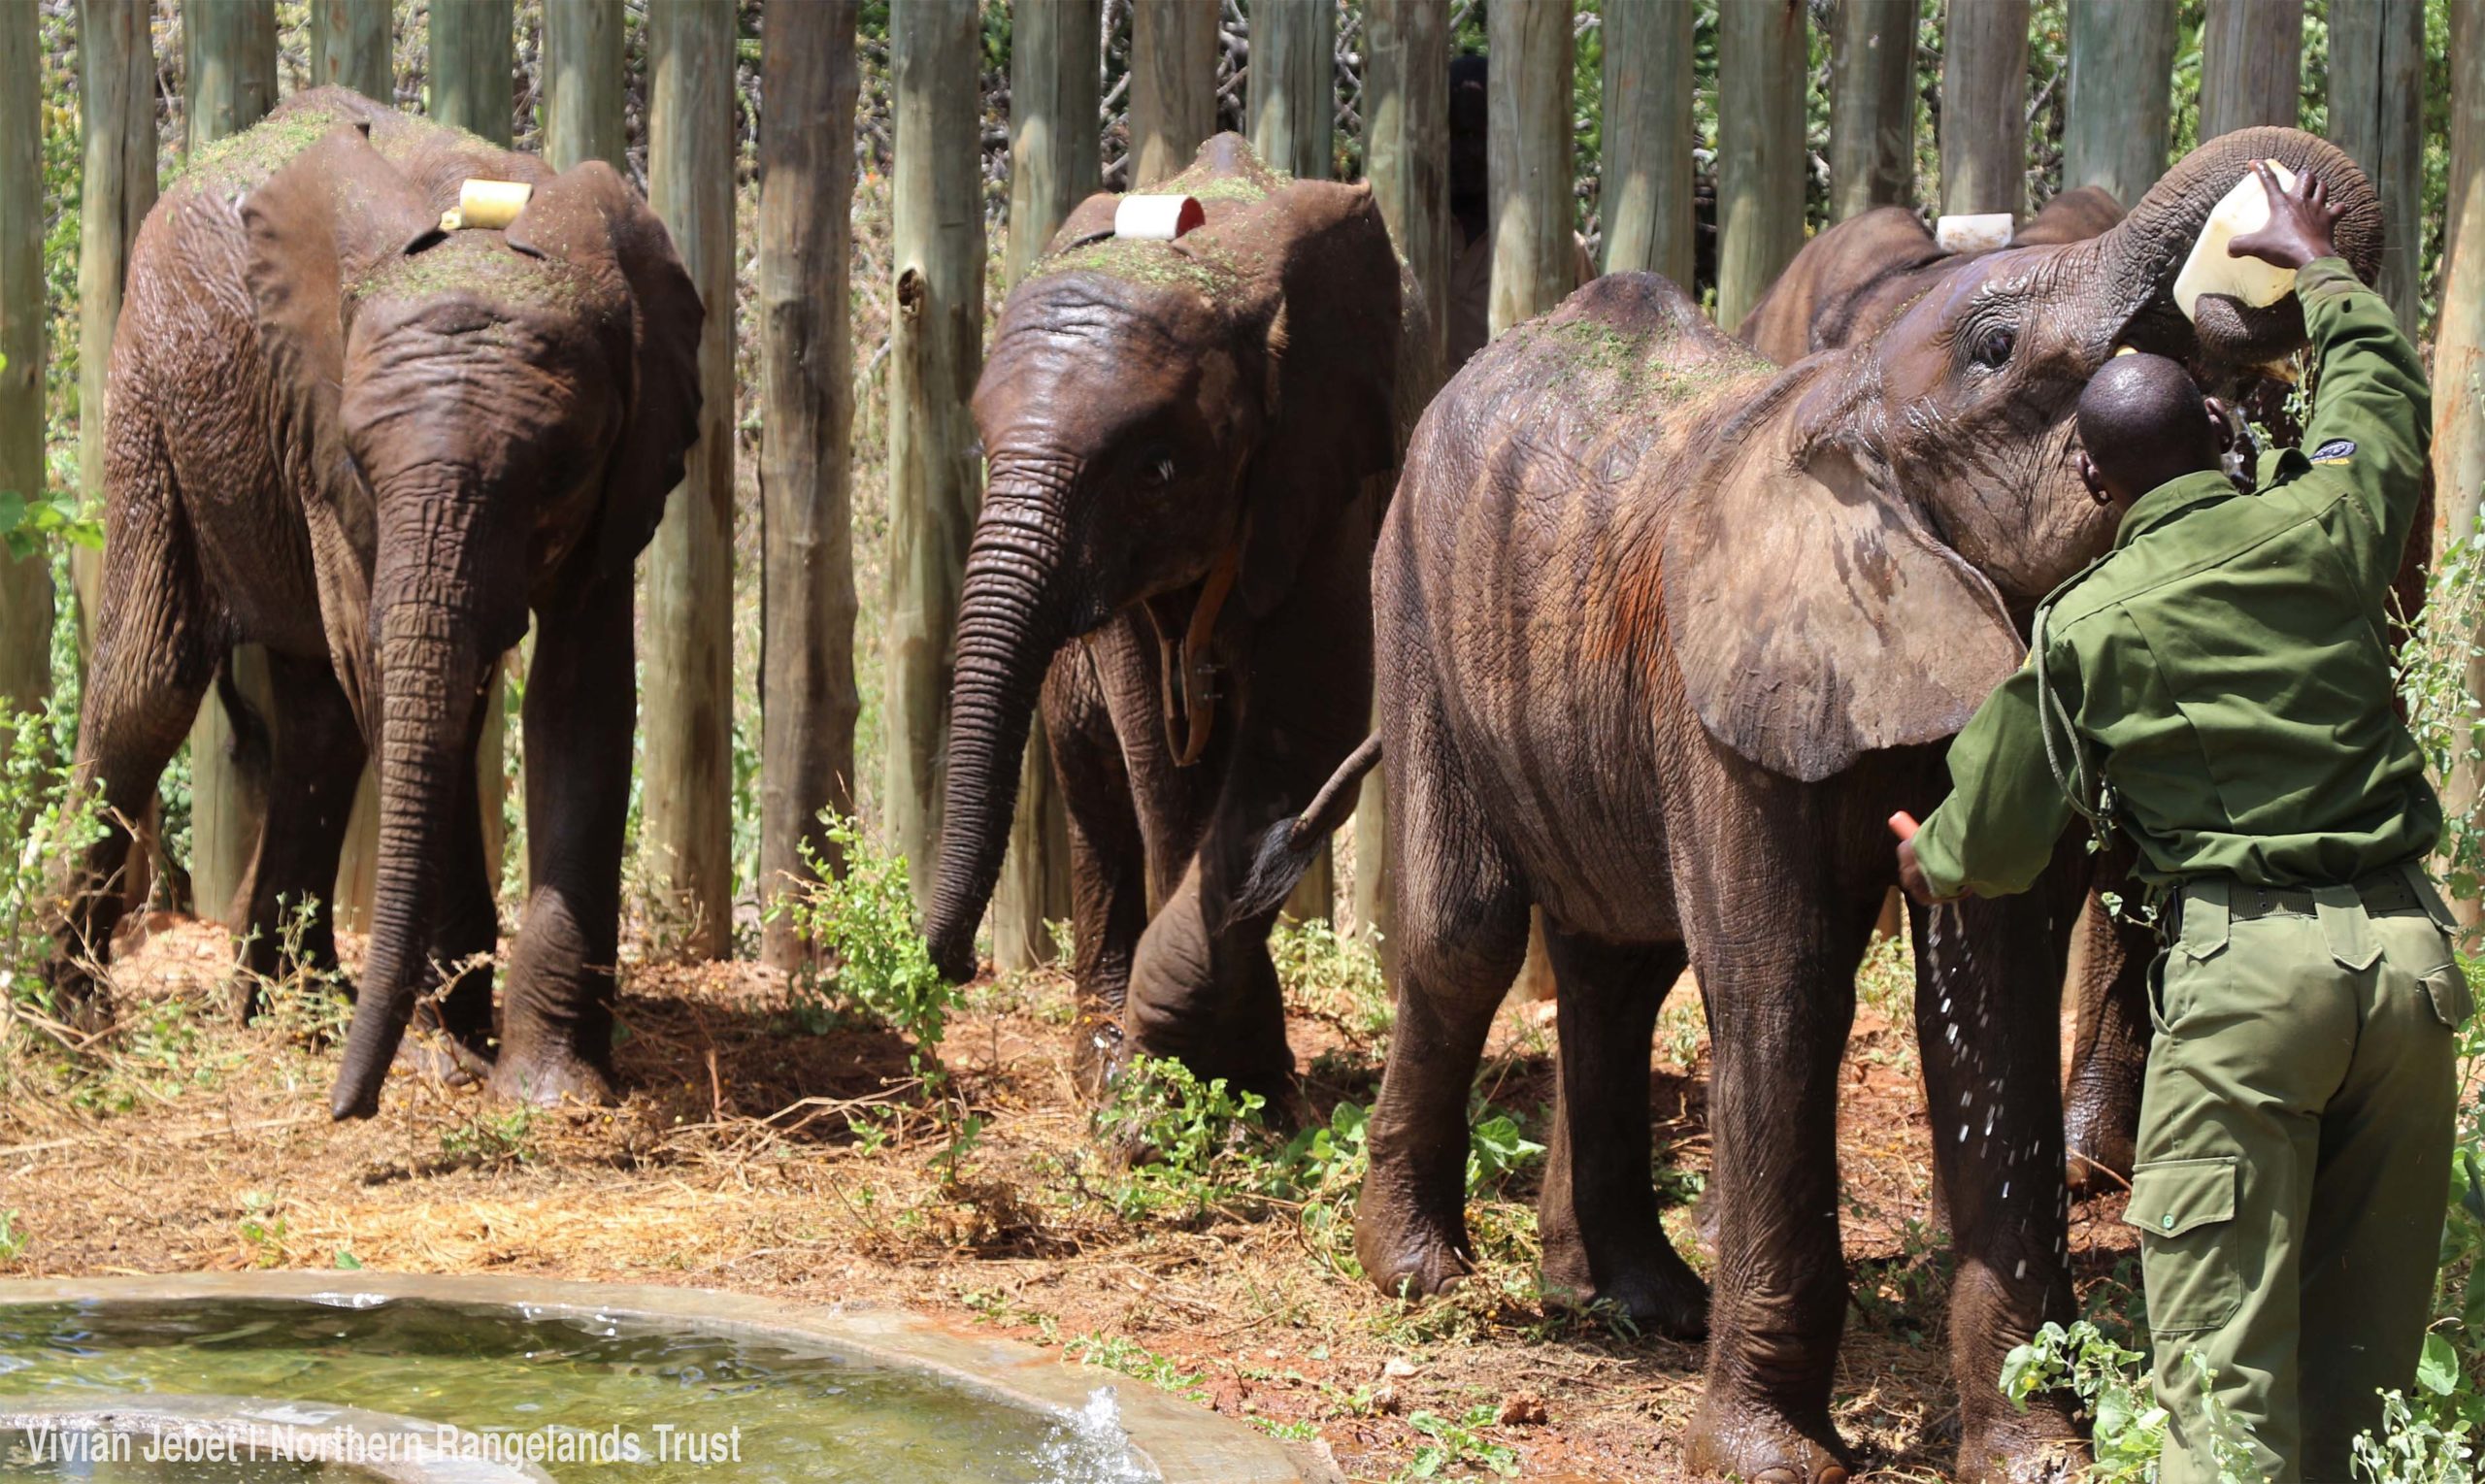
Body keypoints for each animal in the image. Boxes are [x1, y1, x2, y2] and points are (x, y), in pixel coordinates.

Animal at [50, 86, 711, 1118]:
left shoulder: (628, 472)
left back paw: (297, 1004)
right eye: (361, 461)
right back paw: (71, 1020)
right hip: (147, 381)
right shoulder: (318, 436)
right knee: (148, 687)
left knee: (322, 717)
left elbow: (580, 698)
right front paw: (453, 1057)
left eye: (560, 474)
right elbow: (390, 672)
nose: (343, 1108)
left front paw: (551, 1090)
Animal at [919, 136, 1421, 1099]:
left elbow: (1306, 721)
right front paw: (1175, 1083)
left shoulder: (1324, 474)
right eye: (987, 450)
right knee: (1094, 782)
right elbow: (1156, 754)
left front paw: (1238, 1083)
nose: (955, 967)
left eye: (1155, 470)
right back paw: (1098, 1053)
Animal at [1272, 130, 2375, 1481]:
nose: (2279, 222)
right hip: (1418, 606)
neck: (1840, 406)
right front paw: (1769, 1461)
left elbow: (1992, 994)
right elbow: (1781, 983)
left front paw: (2036, 1454)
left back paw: (1636, 1297)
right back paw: (1424, 1276)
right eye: (1996, 347)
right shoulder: (1720, 697)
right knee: (1467, 933)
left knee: (1620, 960)